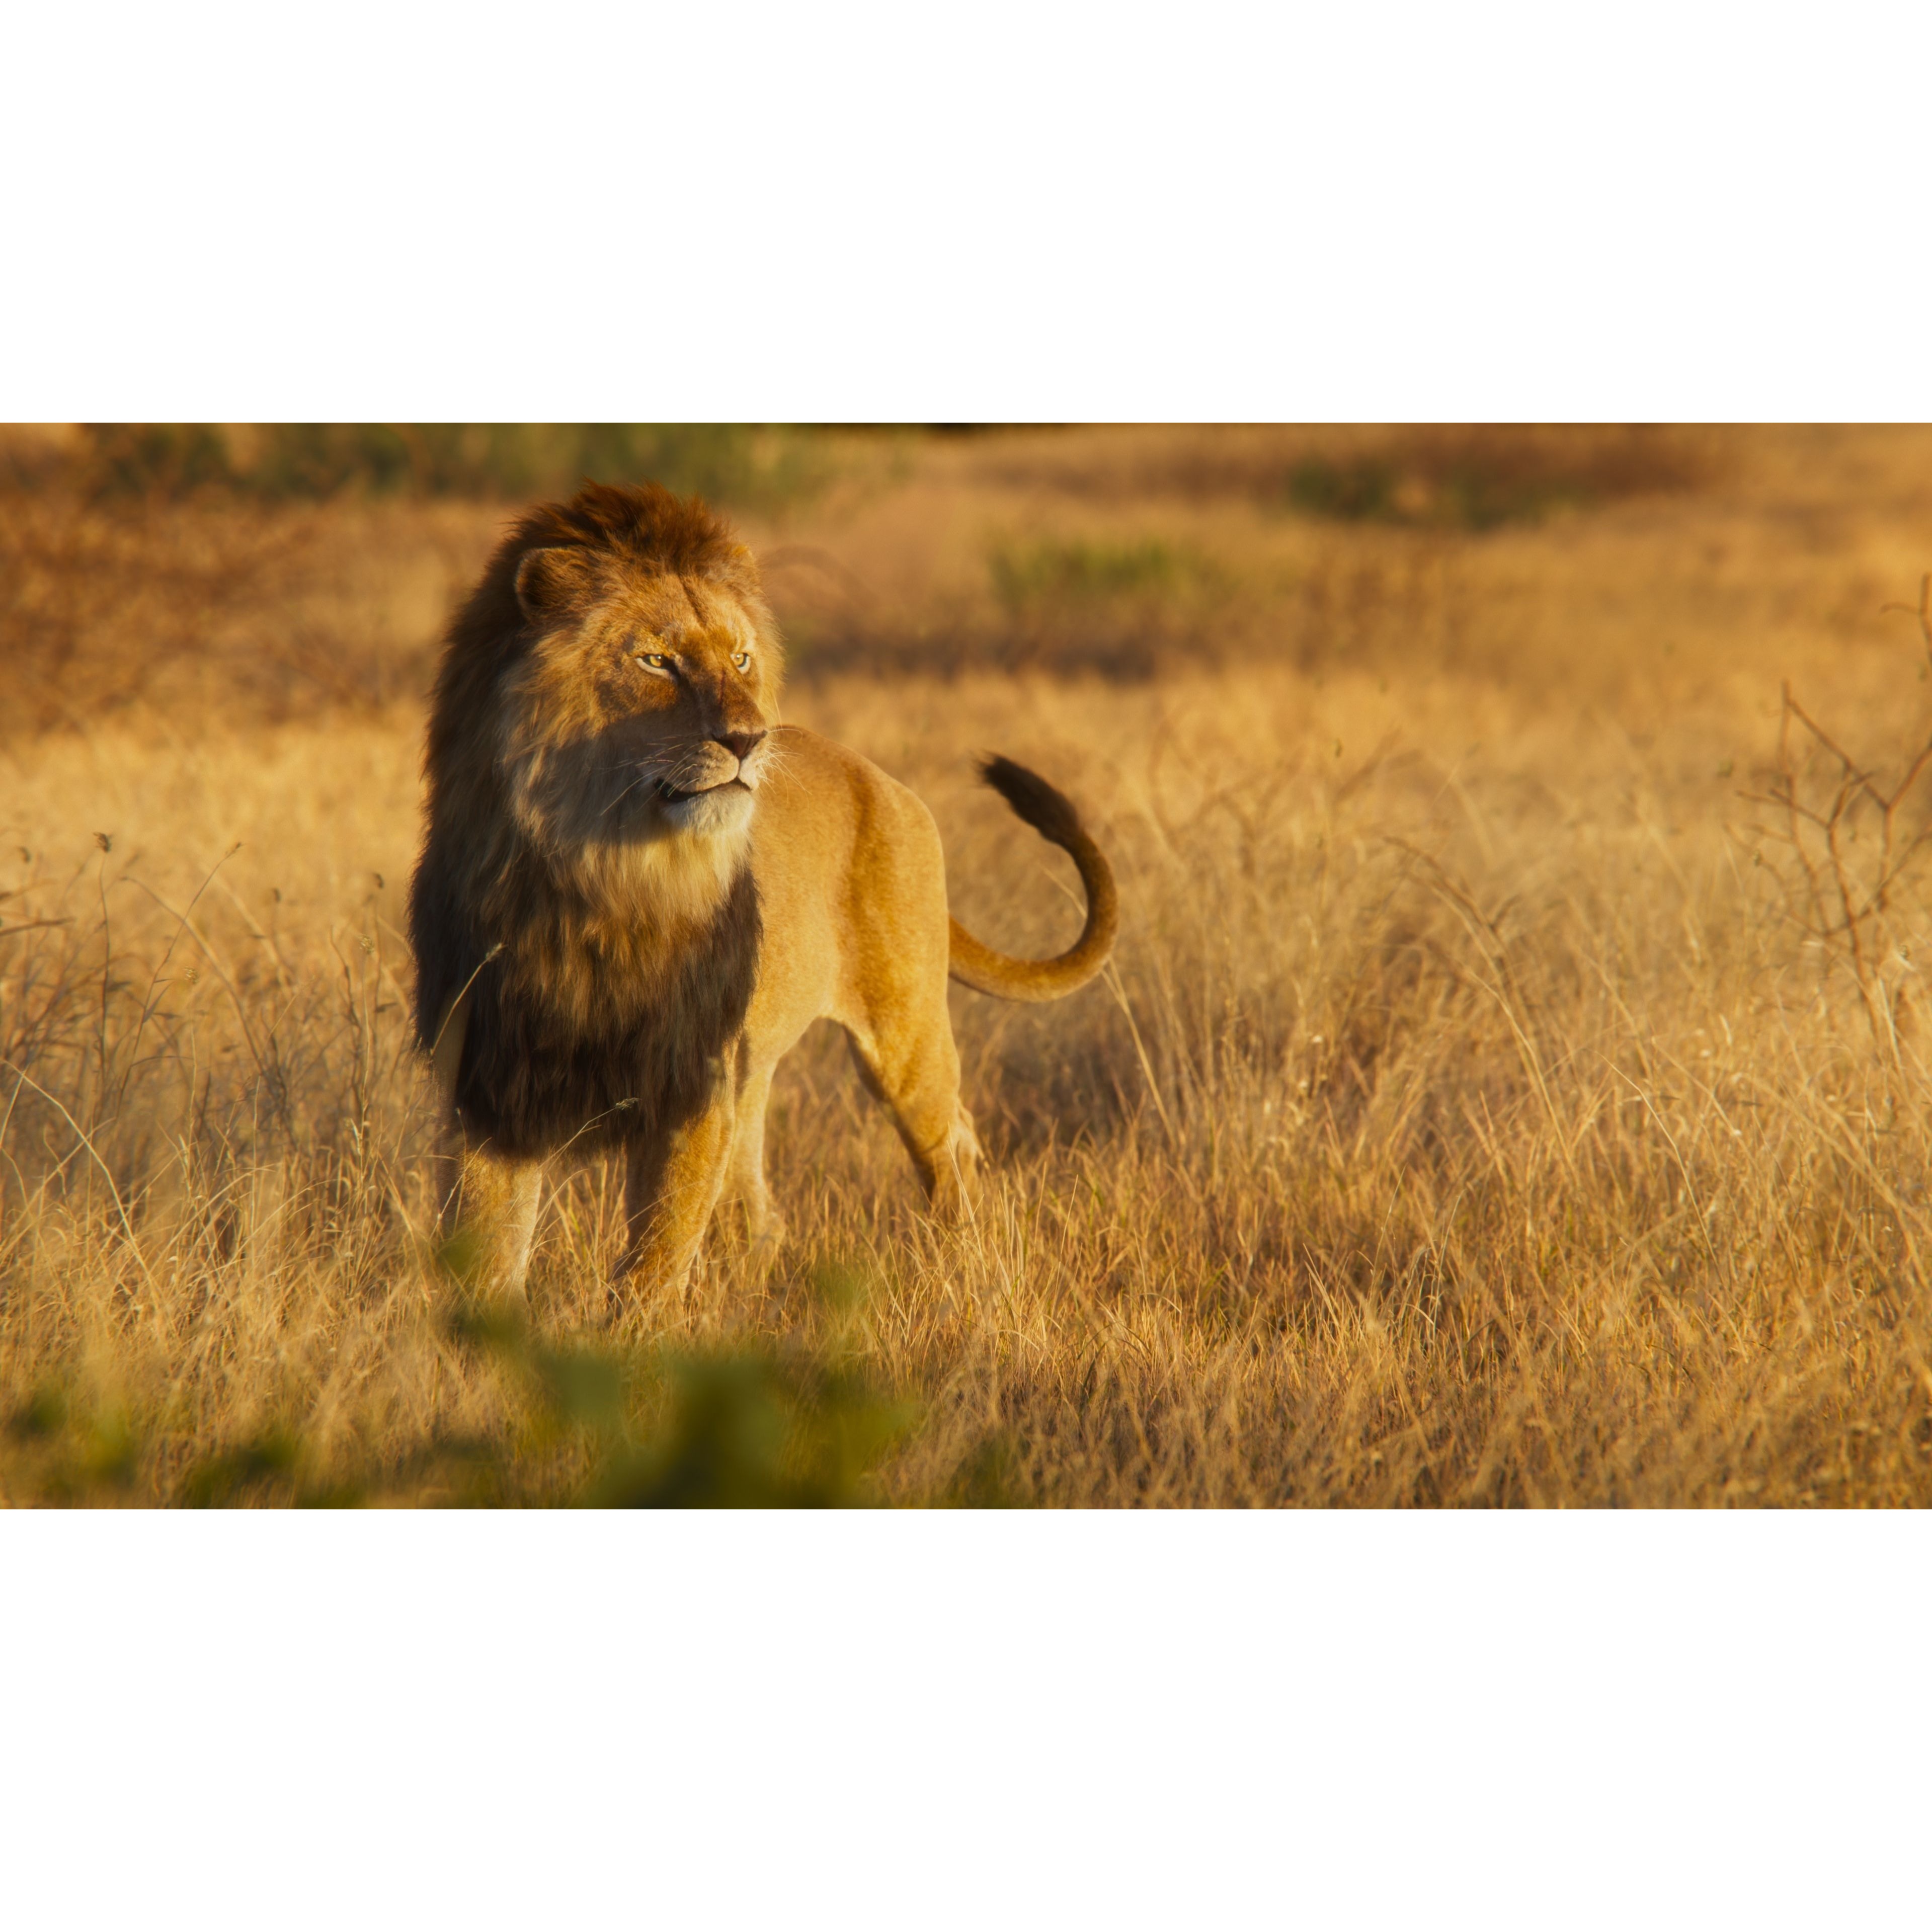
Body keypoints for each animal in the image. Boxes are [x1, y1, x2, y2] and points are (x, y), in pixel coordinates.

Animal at [408, 480, 1117, 1306]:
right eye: (657, 661)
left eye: (741, 658)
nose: (749, 740)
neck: (601, 882)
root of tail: (882, 779)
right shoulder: (492, 1092)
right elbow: (486, 1259)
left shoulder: (691, 1086)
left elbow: (653, 1267)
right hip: (755, 1074)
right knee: (763, 1216)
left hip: (904, 1036)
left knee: (953, 1148)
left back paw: (967, 1274)